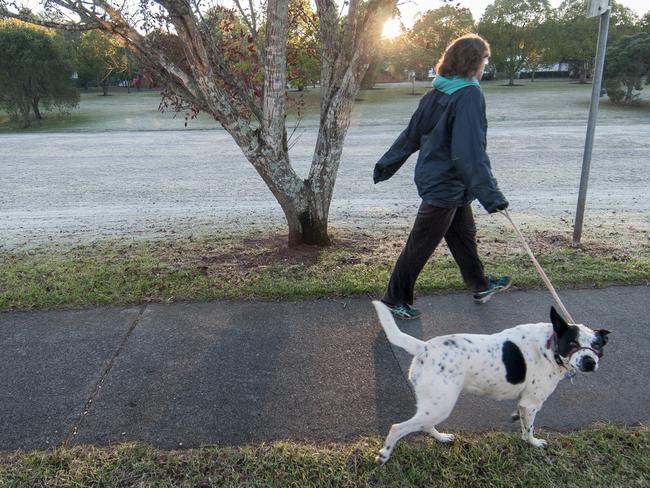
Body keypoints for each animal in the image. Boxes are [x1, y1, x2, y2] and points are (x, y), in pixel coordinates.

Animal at [370, 300, 608, 464]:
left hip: (434, 406)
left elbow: (522, 422)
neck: (550, 346)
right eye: (572, 343)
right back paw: (384, 454)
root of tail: (424, 346)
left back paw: (442, 438)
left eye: (597, 346)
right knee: (398, 428)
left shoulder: (524, 404)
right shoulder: (531, 404)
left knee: (425, 424)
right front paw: (533, 443)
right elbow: (529, 430)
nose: (589, 362)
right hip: (440, 405)